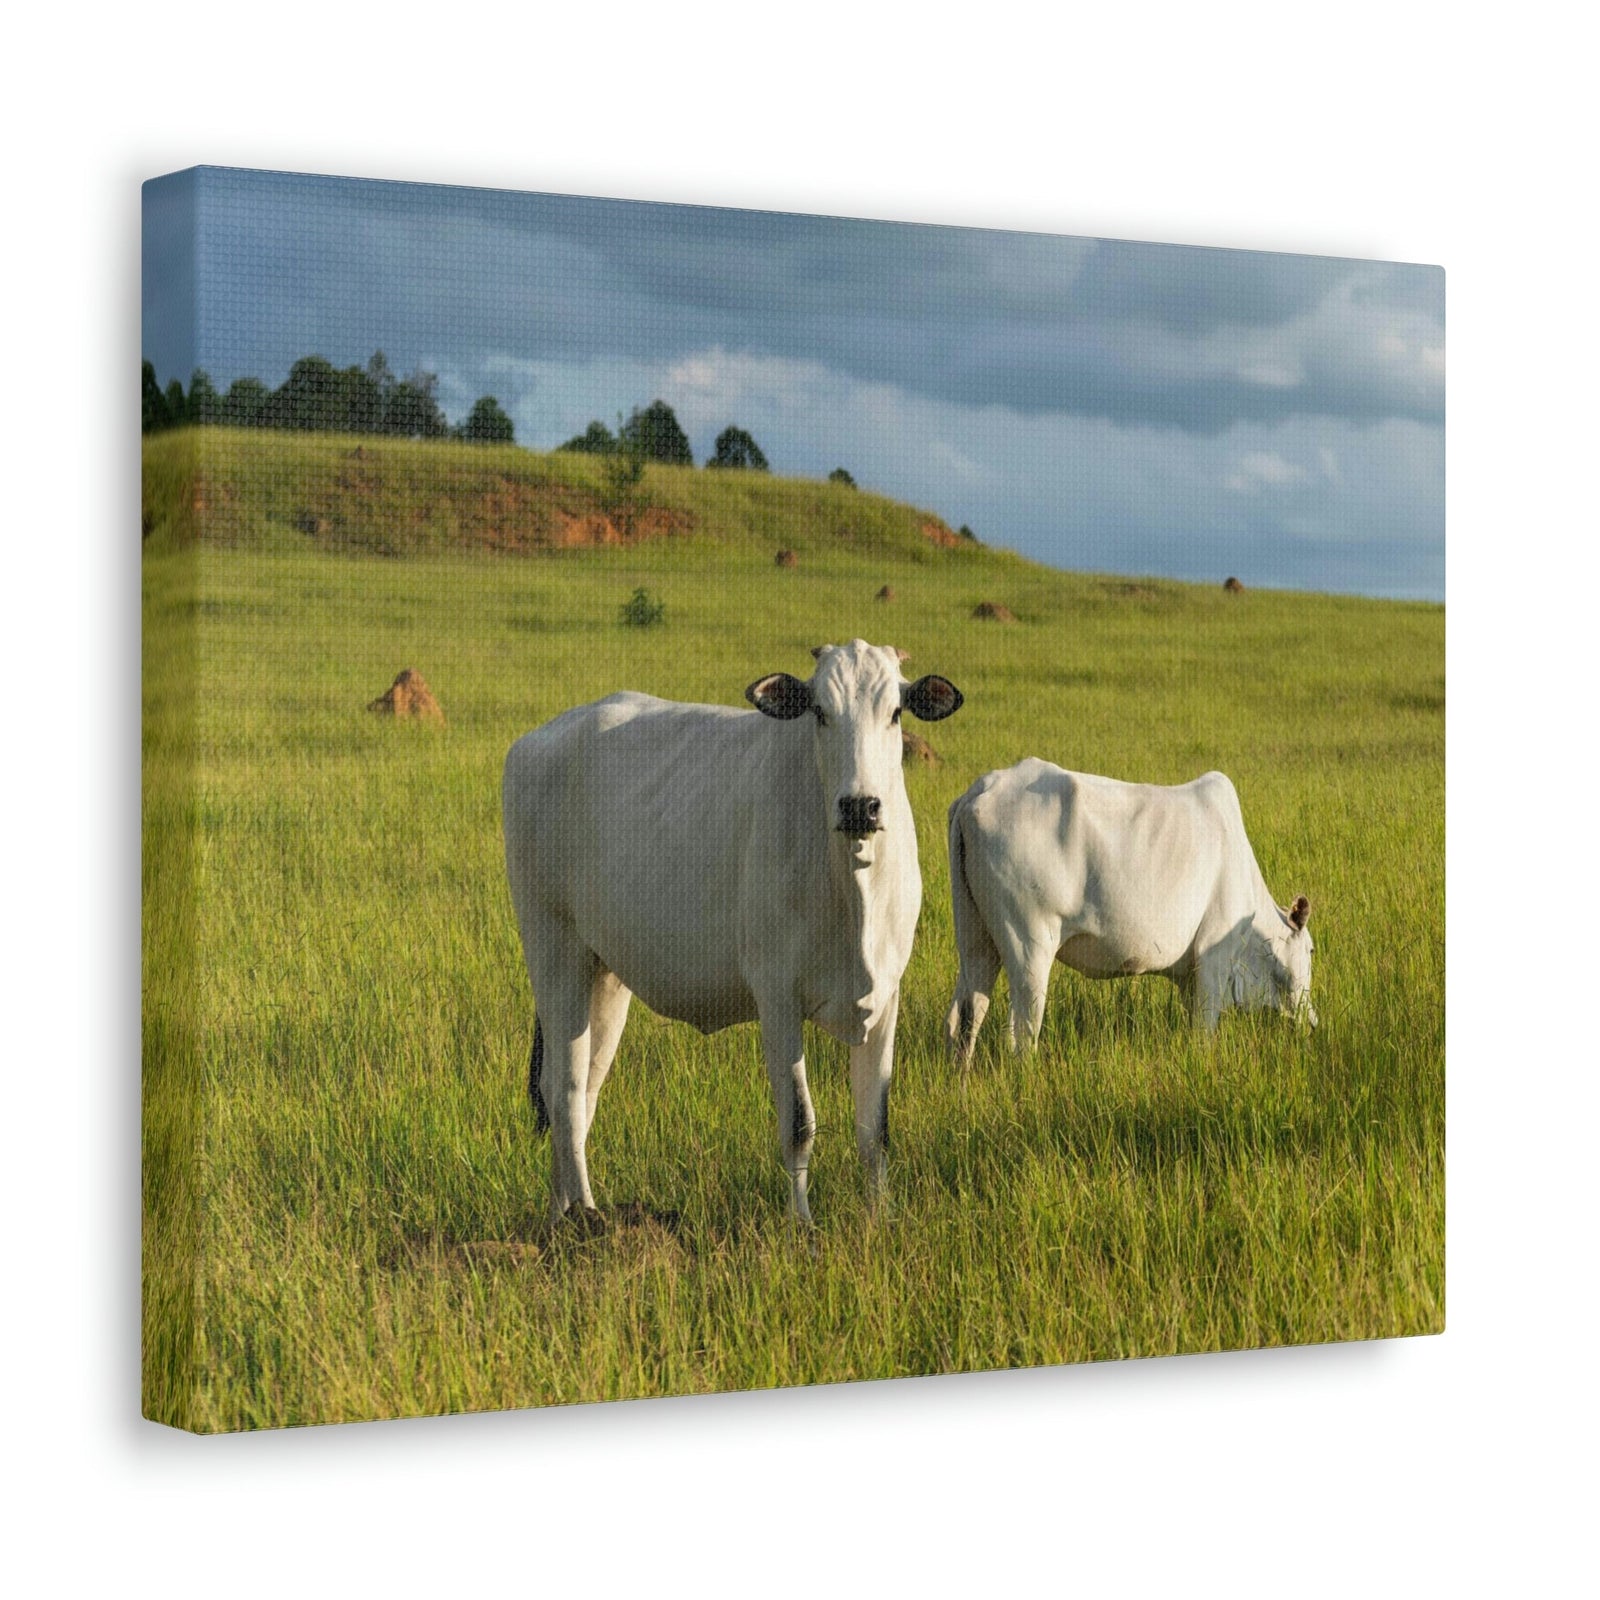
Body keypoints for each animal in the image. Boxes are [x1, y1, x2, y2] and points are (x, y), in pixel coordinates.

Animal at [503, 640, 964, 1225]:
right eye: (819, 711)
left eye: (896, 713)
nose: (860, 806)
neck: (852, 882)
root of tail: (539, 740)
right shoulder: (777, 998)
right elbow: (799, 1123)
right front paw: (801, 1226)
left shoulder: (885, 997)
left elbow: (874, 1129)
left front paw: (879, 1220)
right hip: (552, 949)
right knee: (562, 1088)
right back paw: (586, 1215)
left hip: (603, 974)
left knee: (583, 1088)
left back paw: (561, 1216)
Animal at [946, 760, 1314, 1063]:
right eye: (1311, 949)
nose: (1312, 1023)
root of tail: (981, 791)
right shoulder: (1214, 957)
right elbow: (1204, 1029)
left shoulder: (1190, 975)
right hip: (1029, 943)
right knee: (1021, 1033)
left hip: (976, 938)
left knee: (964, 1016)